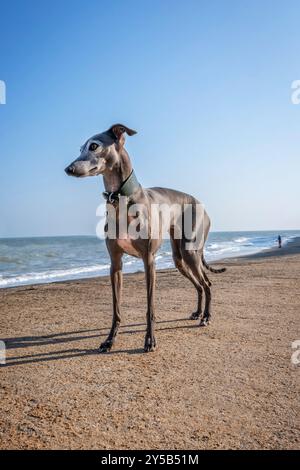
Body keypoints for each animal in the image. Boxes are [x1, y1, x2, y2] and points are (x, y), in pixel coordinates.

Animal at [65, 125, 225, 352]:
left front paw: (150, 340)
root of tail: (200, 203)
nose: (68, 169)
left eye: (94, 146)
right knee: (199, 285)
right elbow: (116, 309)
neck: (121, 199)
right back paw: (198, 313)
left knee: (207, 284)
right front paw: (110, 340)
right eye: (80, 149)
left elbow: (150, 307)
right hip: (179, 258)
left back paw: (207, 317)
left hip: (190, 251)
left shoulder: (149, 261)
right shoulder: (115, 263)